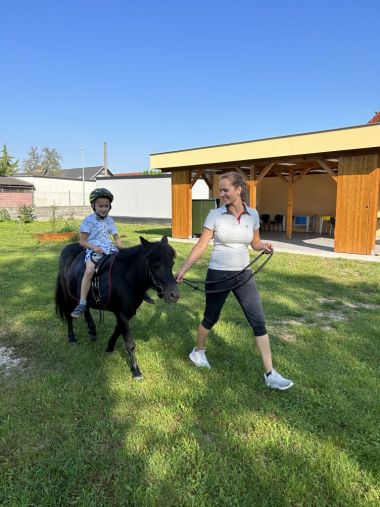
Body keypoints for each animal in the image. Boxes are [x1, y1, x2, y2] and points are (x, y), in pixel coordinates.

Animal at [55, 236, 180, 380]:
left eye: (172, 263)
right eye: (156, 265)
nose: (174, 295)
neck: (127, 278)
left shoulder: (127, 313)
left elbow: (117, 330)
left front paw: (110, 347)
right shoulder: (122, 314)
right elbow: (130, 344)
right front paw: (136, 370)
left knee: (85, 308)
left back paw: (92, 330)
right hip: (68, 295)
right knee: (69, 315)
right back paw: (72, 338)